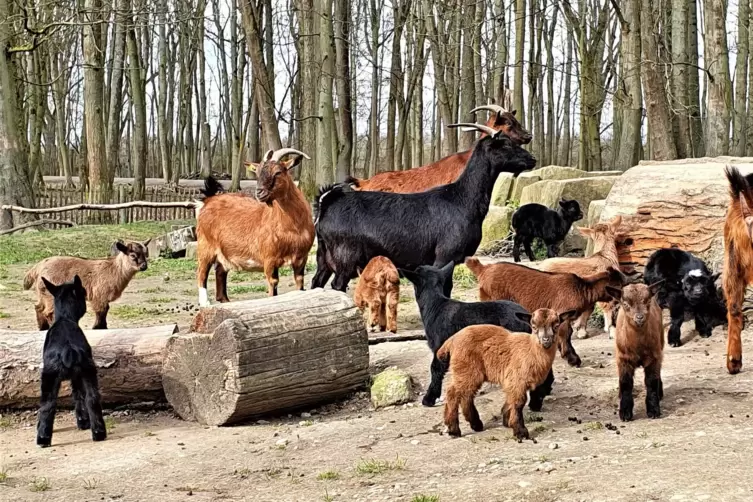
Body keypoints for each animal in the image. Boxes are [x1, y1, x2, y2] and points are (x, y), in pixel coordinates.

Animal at [310, 123, 536, 292]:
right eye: (504, 144)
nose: (532, 159)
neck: (461, 199)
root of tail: (327, 204)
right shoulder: (444, 257)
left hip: (324, 257)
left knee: (316, 282)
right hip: (345, 258)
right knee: (337, 285)